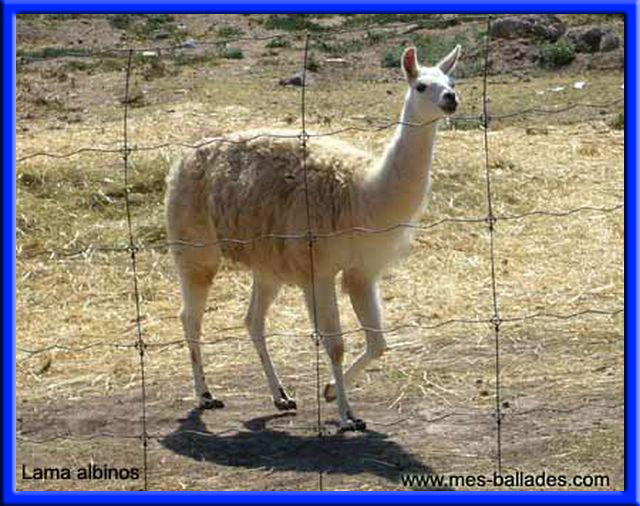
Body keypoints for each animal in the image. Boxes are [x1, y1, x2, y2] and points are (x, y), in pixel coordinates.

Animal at [165, 45, 461, 432]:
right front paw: (346, 417)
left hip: (268, 263)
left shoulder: (361, 270)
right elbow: (335, 345)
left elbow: (378, 343)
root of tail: (183, 158)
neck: (363, 193)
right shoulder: (318, 270)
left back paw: (281, 396)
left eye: (452, 81)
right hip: (195, 246)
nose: (451, 99)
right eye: (422, 85)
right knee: (191, 316)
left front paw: (332, 393)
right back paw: (205, 395)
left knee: (253, 321)